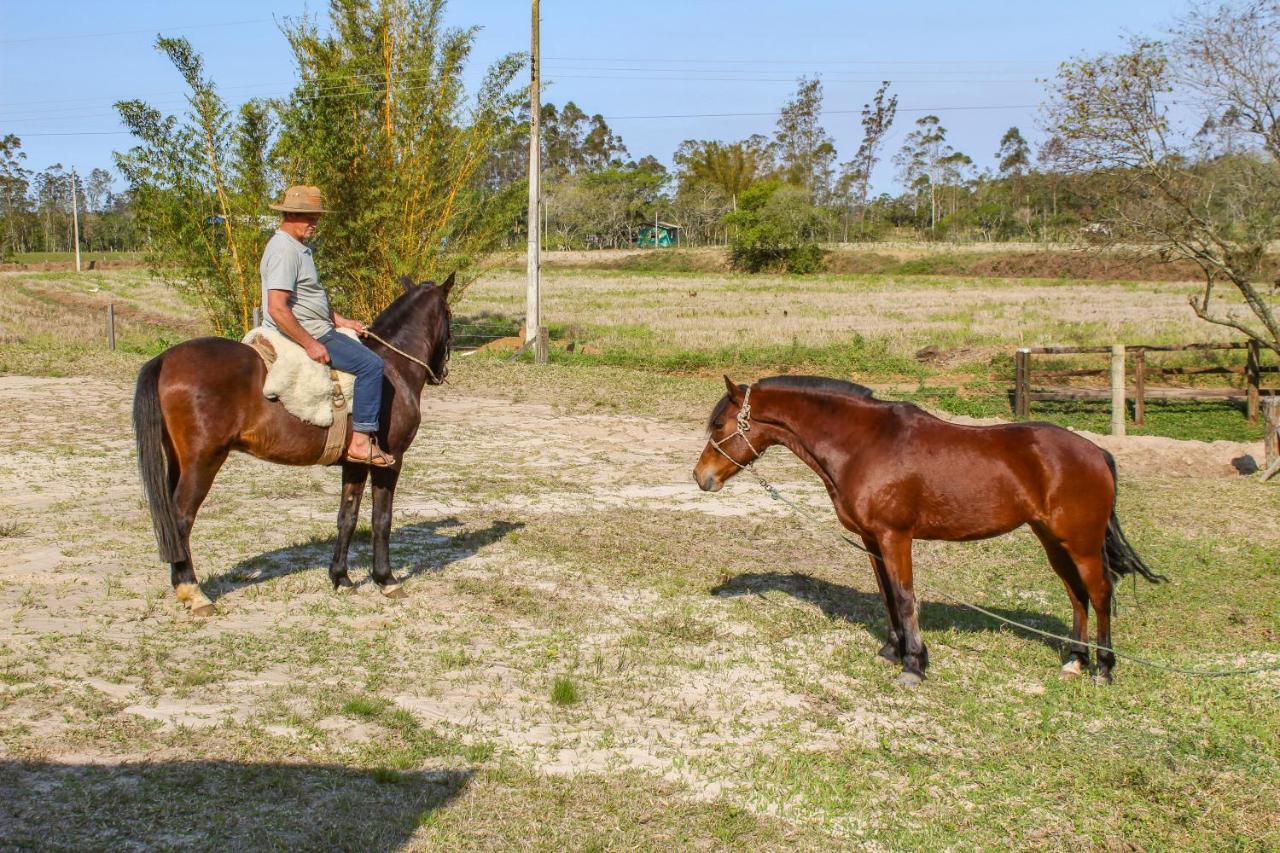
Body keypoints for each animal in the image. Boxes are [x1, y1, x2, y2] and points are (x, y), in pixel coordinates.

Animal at [133, 272, 455, 612]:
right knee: (181, 519)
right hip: (202, 462)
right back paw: (193, 592)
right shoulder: (391, 460)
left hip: (178, 462)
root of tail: (165, 359)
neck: (393, 366)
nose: (441, 371)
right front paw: (386, 579)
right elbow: (382, 519)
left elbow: (348, 517)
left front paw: (341, 578)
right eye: (449, 314)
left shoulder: (355, 463)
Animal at [696, 376, 1167, 686]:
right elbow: (887, 595)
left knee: (1100, 592)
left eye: (719, 426)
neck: (864, 445)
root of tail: (1097, 452)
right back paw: (1074, 660)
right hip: (1052, 541)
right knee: (1076, 594)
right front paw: (892, 651)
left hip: (1081, 544)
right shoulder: (872, 540)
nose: (702, 477)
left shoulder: (895, 537)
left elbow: (905, 596)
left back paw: (1103, 669)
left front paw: (914, 665)